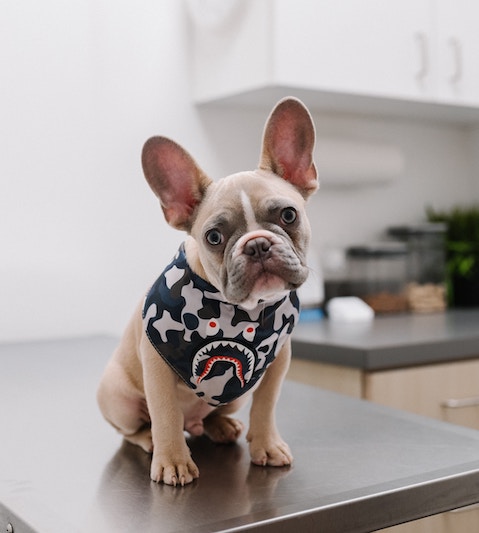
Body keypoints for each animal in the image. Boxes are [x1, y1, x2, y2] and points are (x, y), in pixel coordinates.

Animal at [97, 96, 318, 486]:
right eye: (214, 237)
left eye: (289, 215)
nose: (257, 244)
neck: (242, 313)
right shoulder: (157, 366)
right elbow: (165, 414)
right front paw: (173, 462)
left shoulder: (278, 363)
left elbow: (266, 406)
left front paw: (266, 445)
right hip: (117, 397)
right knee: (134, 428)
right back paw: (150, 440)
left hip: (233, 396)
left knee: (213, 414)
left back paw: (222, 426)